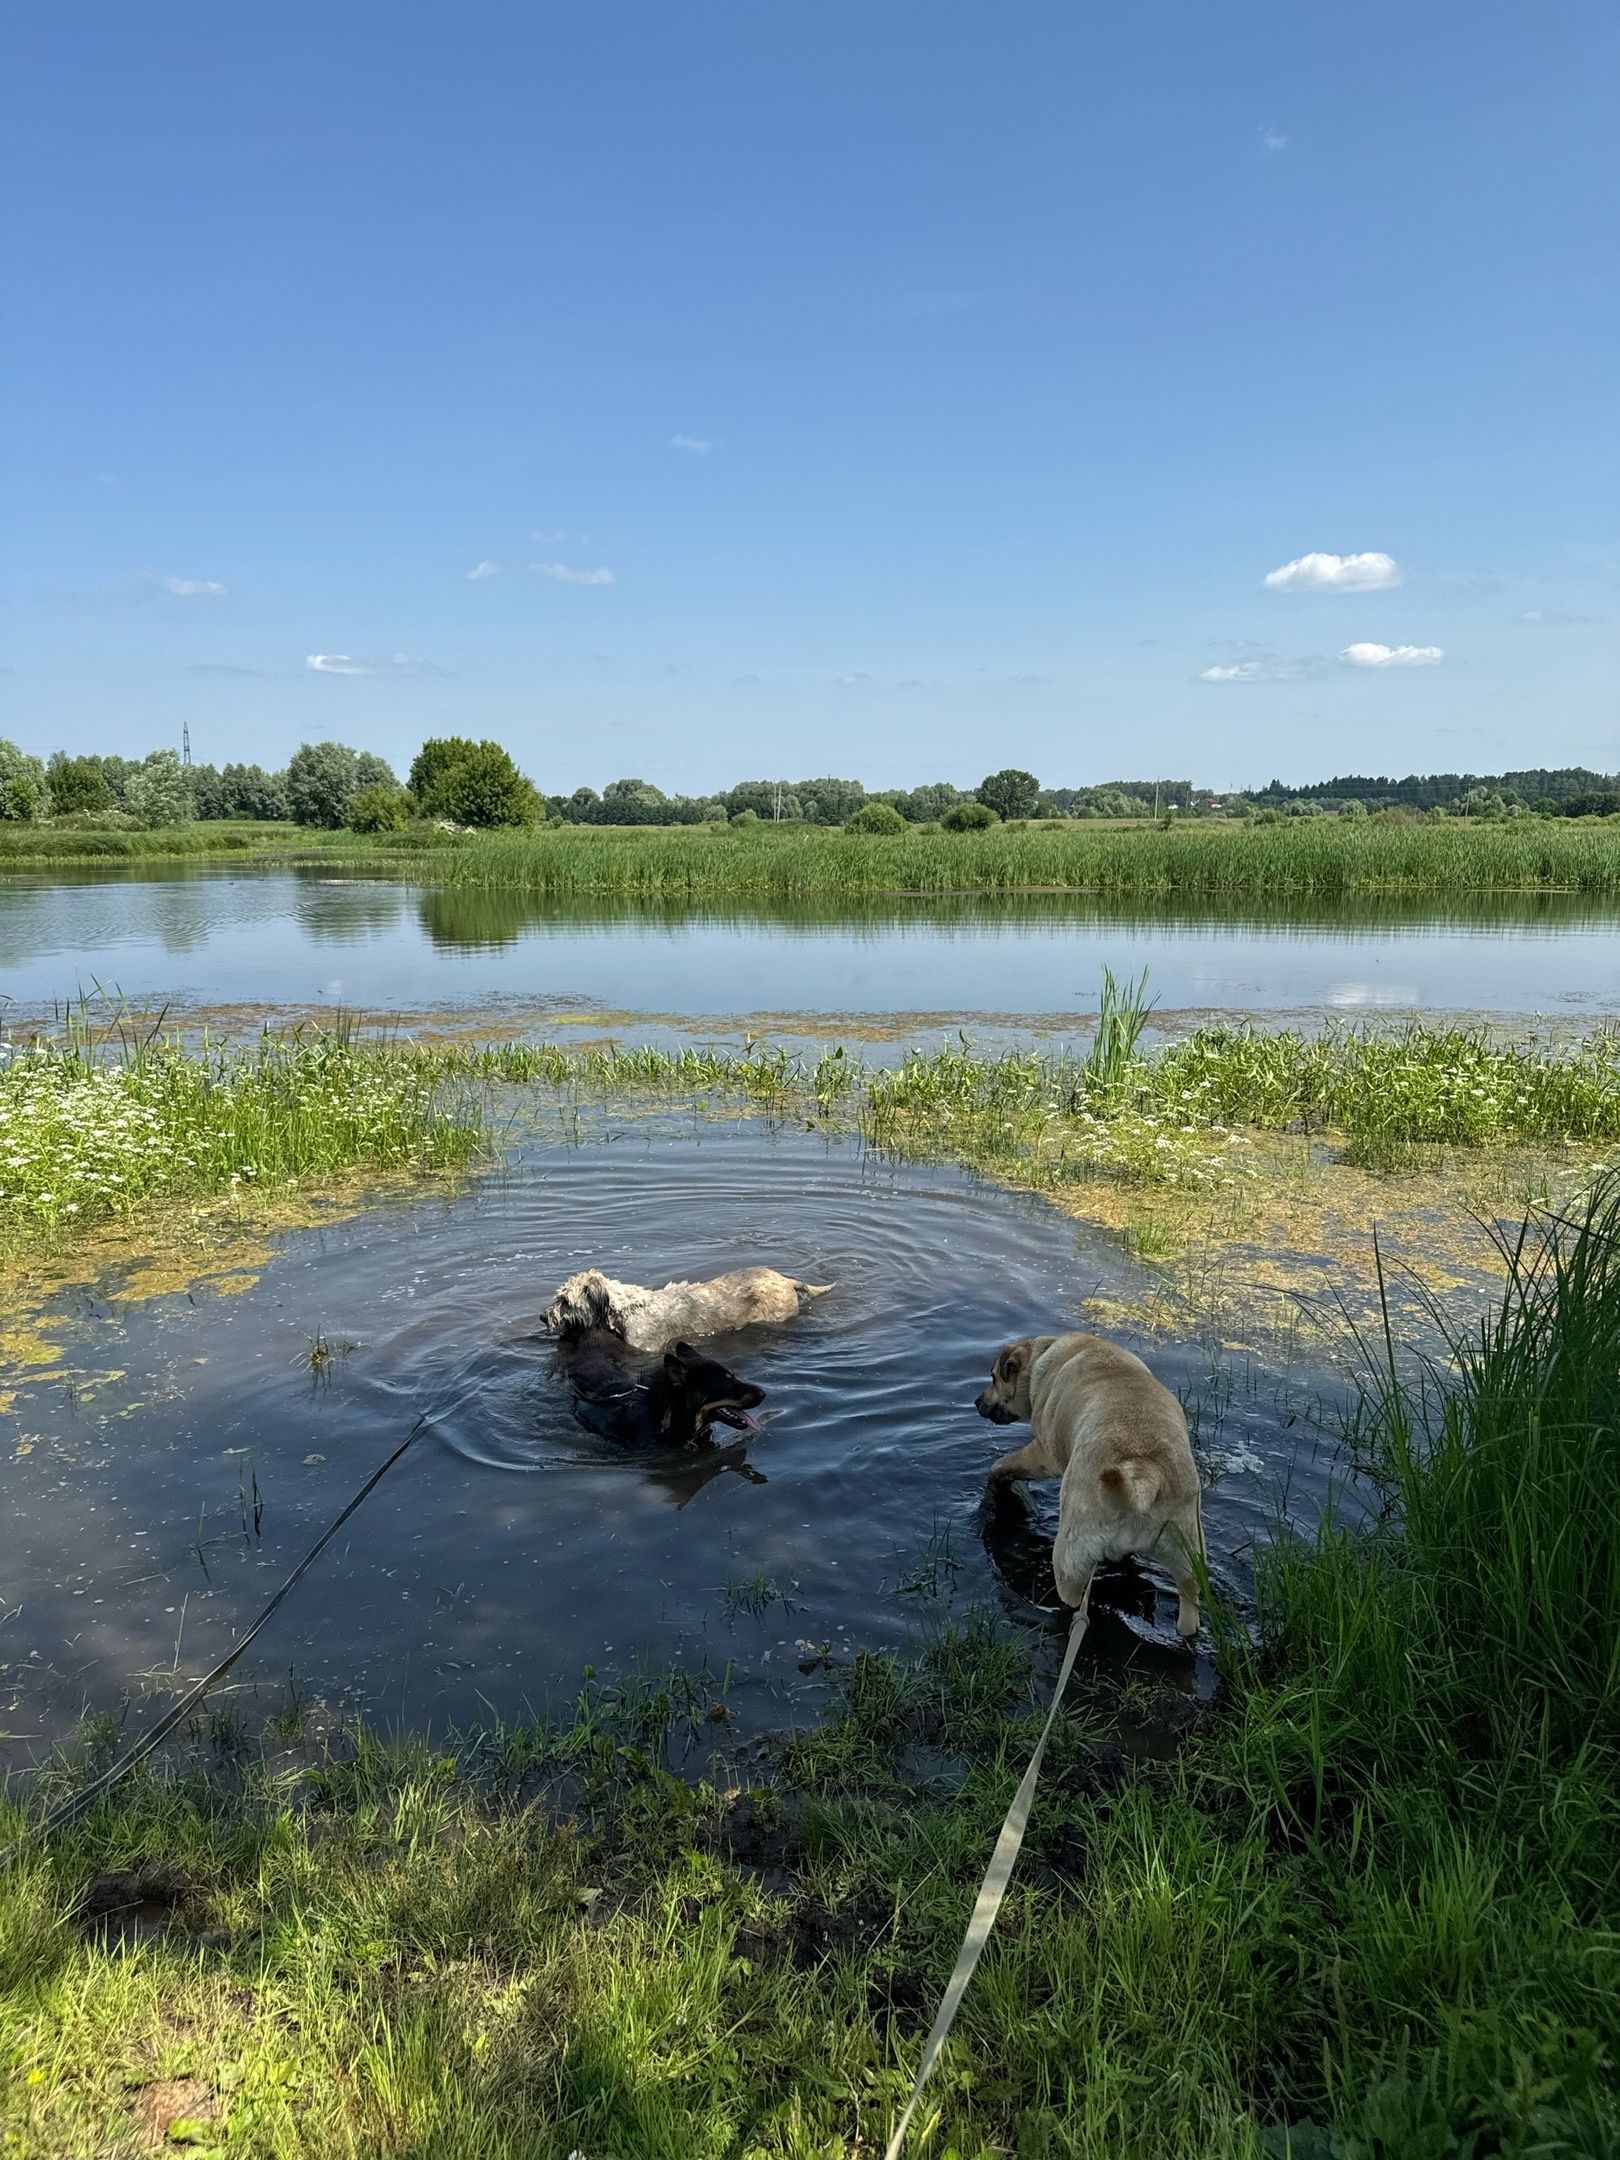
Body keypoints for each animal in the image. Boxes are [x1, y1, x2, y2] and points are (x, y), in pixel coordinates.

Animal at [976, 1330, 1209, 1632]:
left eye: (994, 1378)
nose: (976, 1402)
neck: (1044, 1356)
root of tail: (1140, 1478)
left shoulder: (1044, 1454)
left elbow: (1004, 1463)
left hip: (1069, 1558)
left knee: (1072, 1598)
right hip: (1188, 1560)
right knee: (1189, 1612)